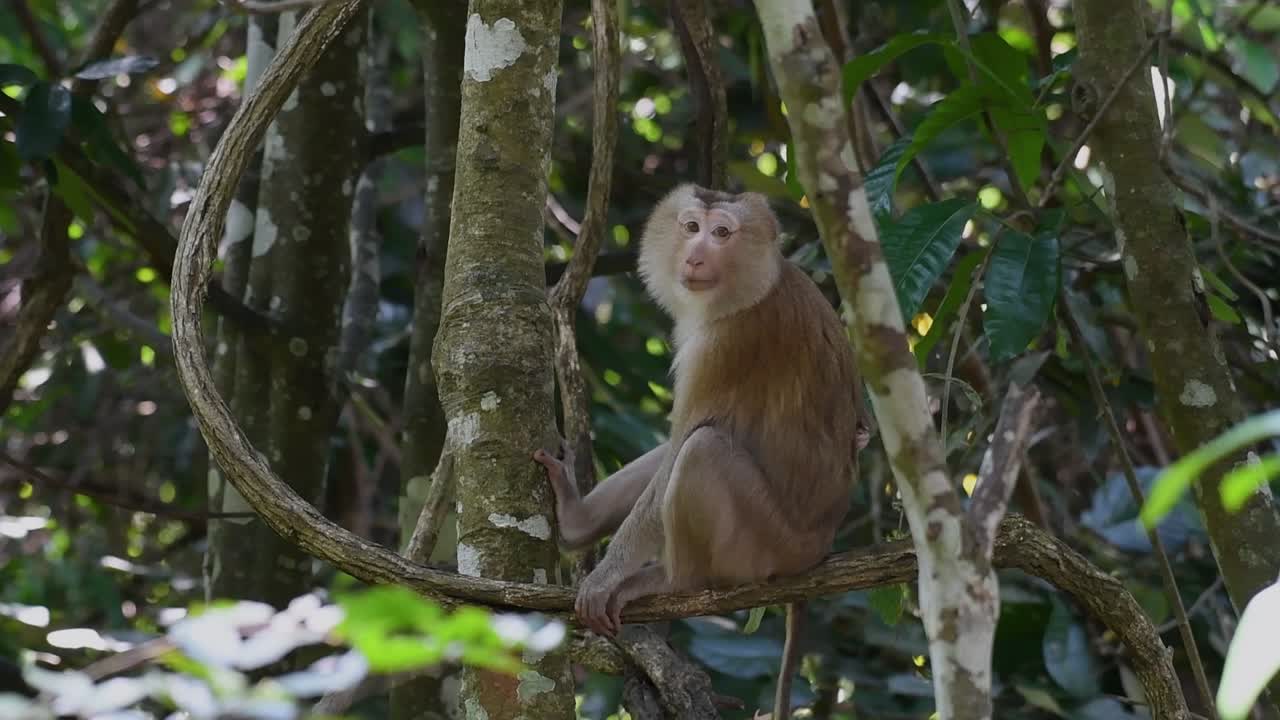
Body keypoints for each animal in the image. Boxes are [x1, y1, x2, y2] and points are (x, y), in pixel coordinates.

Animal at [534, 184, 869, 720]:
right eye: (691, 227)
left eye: (722, 233)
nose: (695, 255)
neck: (752, 288)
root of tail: (818, 548)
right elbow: (668, 453)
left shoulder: (724, 346)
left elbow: (684, 445)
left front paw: (606, 577)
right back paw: (576, 521)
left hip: (765, 545)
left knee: (700, 450)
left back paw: (676, 581)